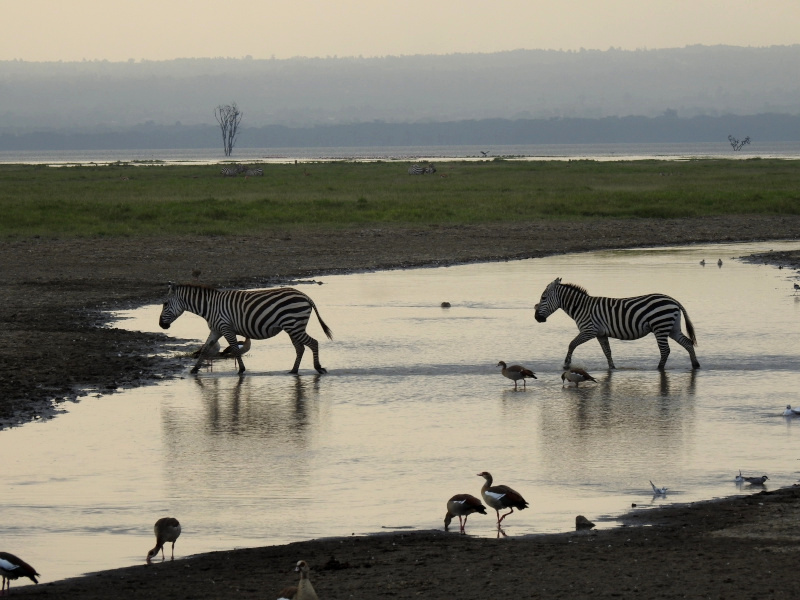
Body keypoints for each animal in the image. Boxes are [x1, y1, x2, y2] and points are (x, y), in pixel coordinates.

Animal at [158, 282, 332, 376]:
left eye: (165, 304)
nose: (161, 325)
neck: (210, 307)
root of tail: (305, 296)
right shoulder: (216, 330)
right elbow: (205, 349)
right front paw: (194, 370)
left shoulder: (226, 328)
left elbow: (235, 349)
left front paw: (241, 370)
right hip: (292, 327)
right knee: (300, 348)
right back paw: (294, 371)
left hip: (294, 325)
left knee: (313, 343)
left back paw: (318, 368)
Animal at [536, 278, 700, 370]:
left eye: (543, 297)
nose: (537, 318)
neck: (581, 307)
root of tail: (673, 300)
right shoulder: (600, 334)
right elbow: (607, 352)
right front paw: (612, 368)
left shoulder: (589, 331)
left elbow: (572, 344)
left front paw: (566, 364)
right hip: (672, 328)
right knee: (687, 343)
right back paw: (695, 365)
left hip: (660, 326)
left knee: (665, 350)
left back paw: (658, 369)